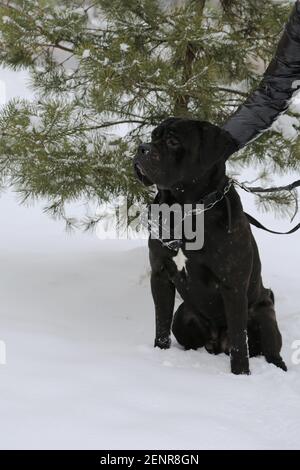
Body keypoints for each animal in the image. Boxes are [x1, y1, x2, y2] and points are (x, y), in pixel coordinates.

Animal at [135, 116, 288, 374]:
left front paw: (241, 374)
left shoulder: (232, 285)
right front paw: (160, 352)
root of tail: (218, 341)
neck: (186, 211)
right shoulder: (161, 273)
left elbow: (239, 339)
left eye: (173, 141)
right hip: (183, 315)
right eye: (153, 136)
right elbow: (161, 321)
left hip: (263, 314)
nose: (141, 148)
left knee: (268, 349)